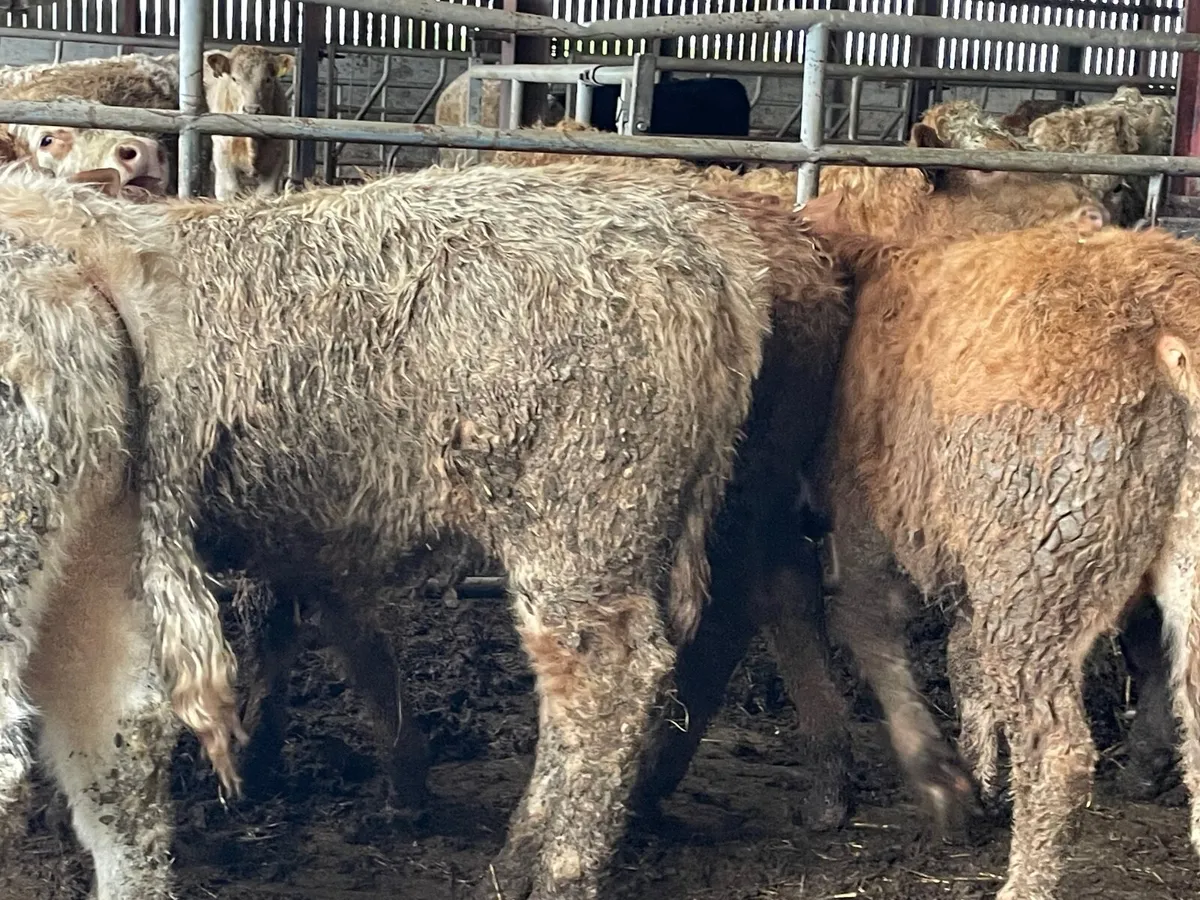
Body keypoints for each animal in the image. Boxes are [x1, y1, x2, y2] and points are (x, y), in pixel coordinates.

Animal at [203, 46, 293, 199]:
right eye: (234, 78)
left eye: (268, 79)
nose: (252, 109)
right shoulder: (223, 153)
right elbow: (229, 191)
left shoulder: (278, 154)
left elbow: (266, 193)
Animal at [799, 186, 1200, 899]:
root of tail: (1165, 318)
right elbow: (964, 657)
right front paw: (980, 771)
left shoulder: (867, 514)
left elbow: (866, 624)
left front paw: (946, 784)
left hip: (1039, 565)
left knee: (1060, 752)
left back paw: (1022, 880)